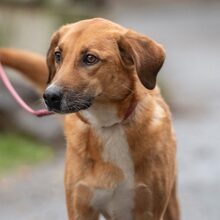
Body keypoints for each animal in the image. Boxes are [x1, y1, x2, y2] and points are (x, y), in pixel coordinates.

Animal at [0, 17, 180, 220]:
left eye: (90, 58)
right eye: (58, 55)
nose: (49, 96)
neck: (107, 124)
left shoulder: (149, 210)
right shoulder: (80, 208)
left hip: (171, 204)